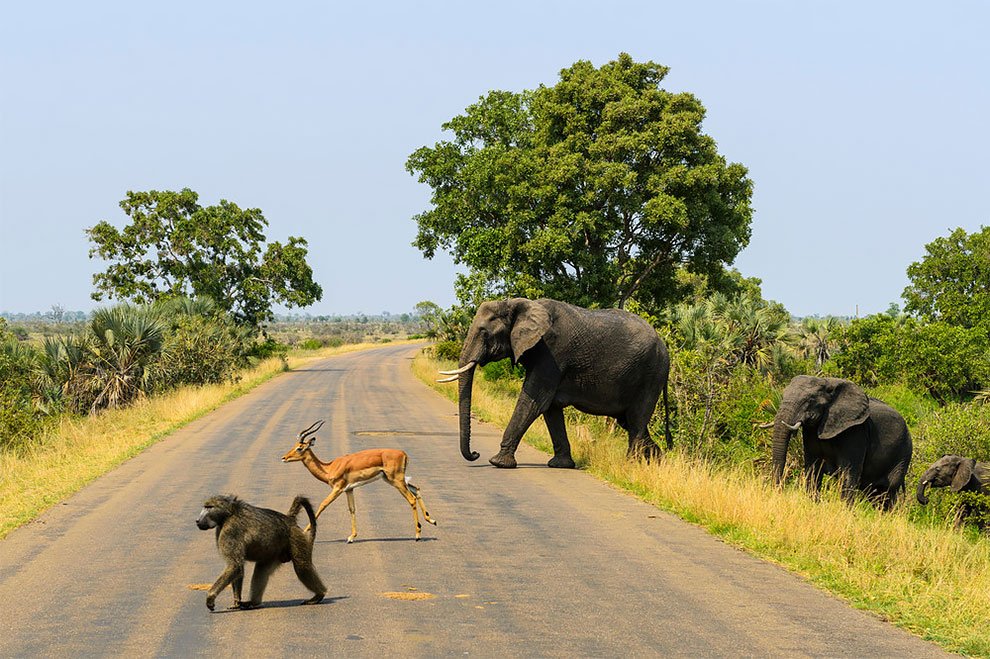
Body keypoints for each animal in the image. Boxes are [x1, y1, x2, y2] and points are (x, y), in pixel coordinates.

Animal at [196, 492, 328, 612]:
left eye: (209, 507)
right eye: (205, 506)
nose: (197, 520)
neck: (229, 514)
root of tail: (289, 519)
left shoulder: (230, 531)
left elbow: (234, 566)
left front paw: (210, 598)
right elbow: (238, 568)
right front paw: (236, 602)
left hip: (295, 537)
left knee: (302, 567)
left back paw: (319, 595)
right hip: (274, 553)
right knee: (261, 570)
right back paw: (253, 602)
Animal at [442, 300, 676, 470]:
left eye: (484, 332)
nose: (475, 454)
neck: (516, 303)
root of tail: (665, 348)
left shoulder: (552, 352)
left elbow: (534, 402)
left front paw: (498, 463)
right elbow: (550, 408)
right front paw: (560, 465)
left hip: (650, 375)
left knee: (636, 422)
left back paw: (630, 467)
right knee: (631, 423)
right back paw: (660, 464)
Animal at [776, 376, 916, 510]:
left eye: (809, 401)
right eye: (782, 396)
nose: (778, 490)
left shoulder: (855, 432)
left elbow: (848, 473)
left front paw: (845, 511)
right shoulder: (811, 431)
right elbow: (813, 468)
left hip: (903, 455)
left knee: (889, 492)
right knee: (875, 494)